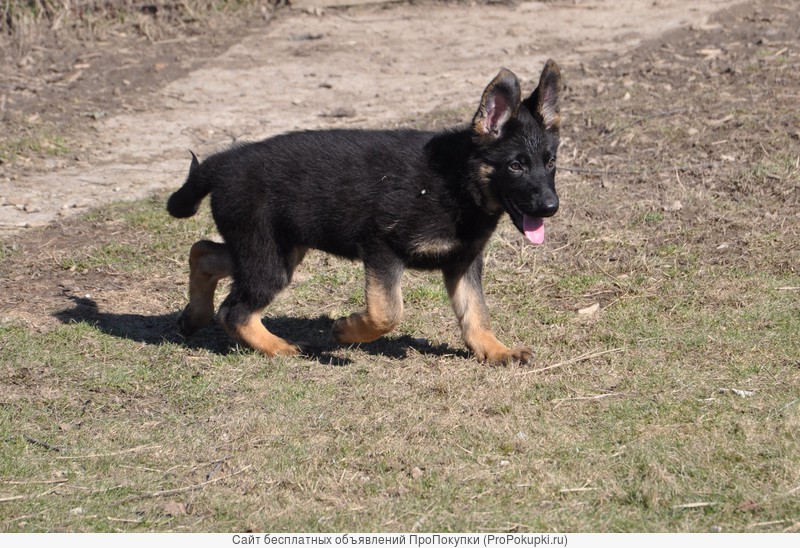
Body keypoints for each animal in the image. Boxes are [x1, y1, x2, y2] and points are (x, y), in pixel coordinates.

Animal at [165, 60, 560, 364]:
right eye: (515, 166)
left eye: (550, 162)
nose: (551, 207)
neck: (459, 180)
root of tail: (221, 164)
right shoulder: (382, 247)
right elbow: (388, 313)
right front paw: (346, 331)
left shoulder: (462, 262)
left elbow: (475, 312)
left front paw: (495, 350)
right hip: (268, 256)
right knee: (235, 311)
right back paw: (281, 348)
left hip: (277, 248)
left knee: (203, 253)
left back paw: (194, 316)